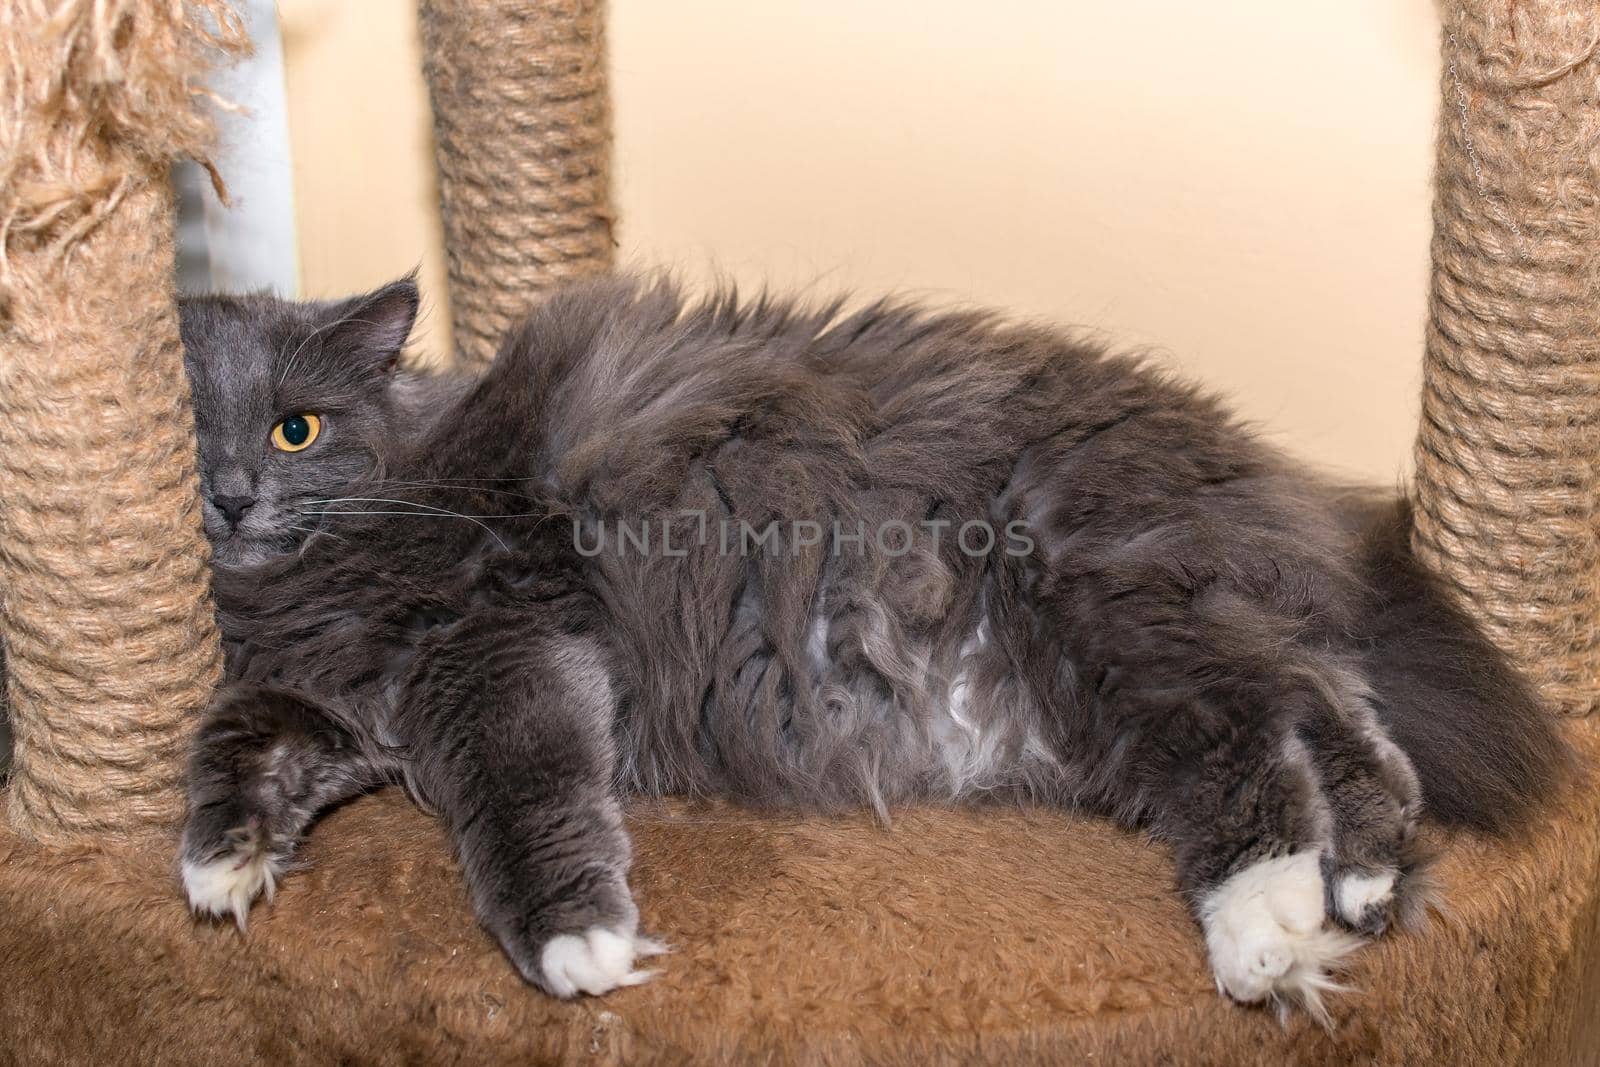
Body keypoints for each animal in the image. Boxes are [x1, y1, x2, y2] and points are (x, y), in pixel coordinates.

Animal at [168, 273, 1568, 1017]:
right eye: (192, 431)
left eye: (294, 427)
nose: (227, 494)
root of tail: (1241, 469)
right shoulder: (345, 697)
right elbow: (238, 734)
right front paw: (224, 865)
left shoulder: (497, 640)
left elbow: (520, 797)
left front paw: (579, 942)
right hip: (1128, 658)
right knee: (1322, 700)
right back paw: (1361, 878)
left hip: (1087, 598)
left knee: (1244, 737)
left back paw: (1266, 927)